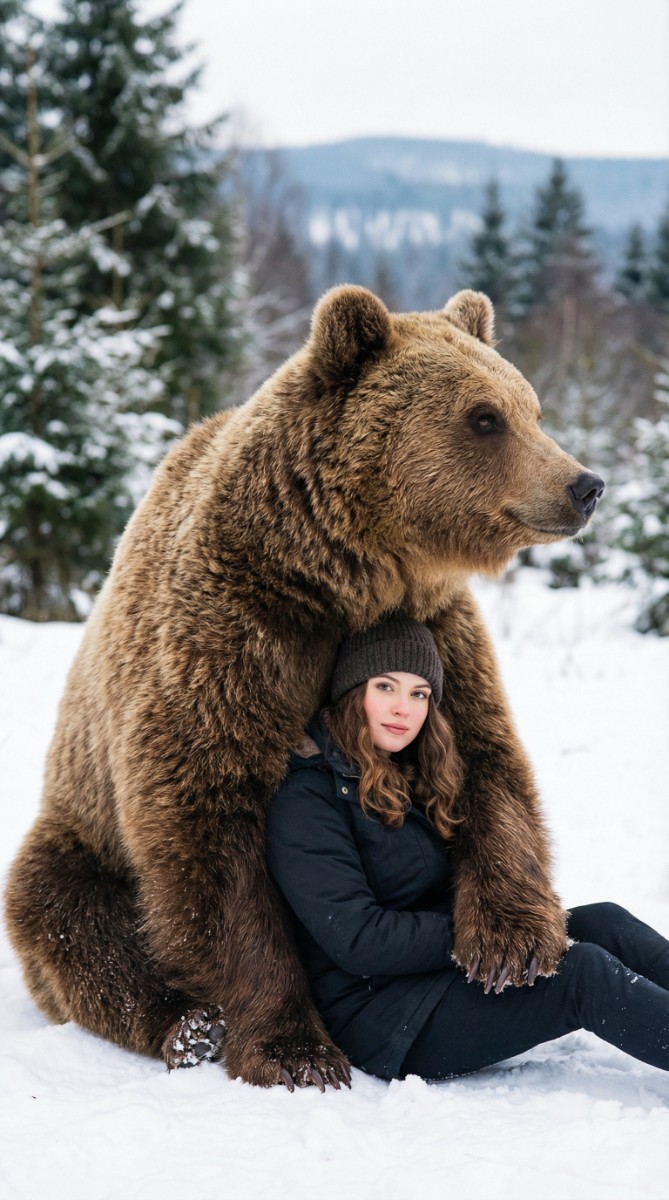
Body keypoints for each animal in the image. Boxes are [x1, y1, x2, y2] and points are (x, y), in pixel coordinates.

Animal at [4, 286, 604, 1089]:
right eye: (483, 418)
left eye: (529, 406)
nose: (583, 484)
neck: (343, 576)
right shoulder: (235, 634)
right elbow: (212, 829)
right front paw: (296, 1051)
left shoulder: (438, 629)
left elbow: (485, 762)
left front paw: (511, 941)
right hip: (82, 836)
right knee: (69, 920)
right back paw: (186, 1025)